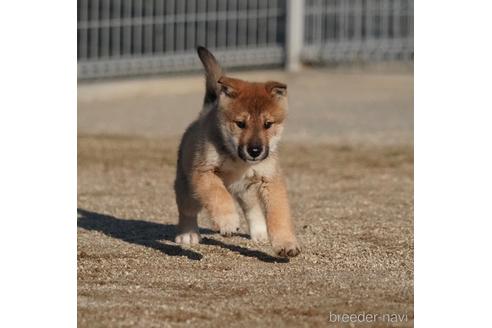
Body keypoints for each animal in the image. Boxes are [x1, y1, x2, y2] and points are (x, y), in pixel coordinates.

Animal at [175, 46, 302, 258]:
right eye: (240, 124)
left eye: (268, 124)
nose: (255, 150)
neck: (238, 161)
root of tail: (205, 112)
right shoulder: (204, 172)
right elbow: (218, 195)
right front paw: (227, 222)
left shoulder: (270, 179)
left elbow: (279, 214)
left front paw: (286, 243)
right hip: (189, 190)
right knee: (187, 211)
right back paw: (188, 234)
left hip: (245, 190)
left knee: (252, 209)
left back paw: (259, 232)